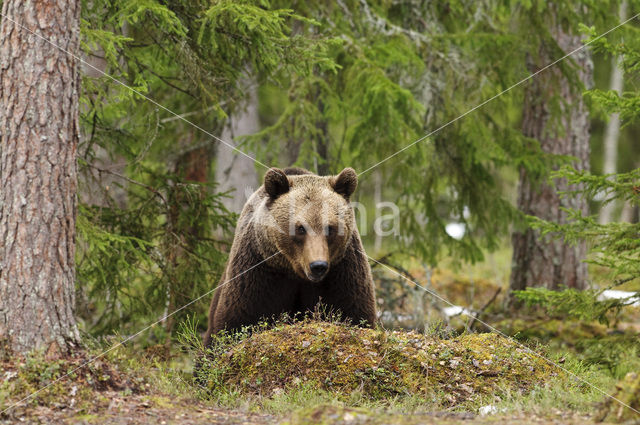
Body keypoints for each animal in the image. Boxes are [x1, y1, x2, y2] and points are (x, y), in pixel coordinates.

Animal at [202, 166, 378, 344]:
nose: (318, 266)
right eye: (300, 228)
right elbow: (235, 322)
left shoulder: (343, 273)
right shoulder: (257, 272)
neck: (295, 274)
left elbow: (354, 312)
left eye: (330, 228)